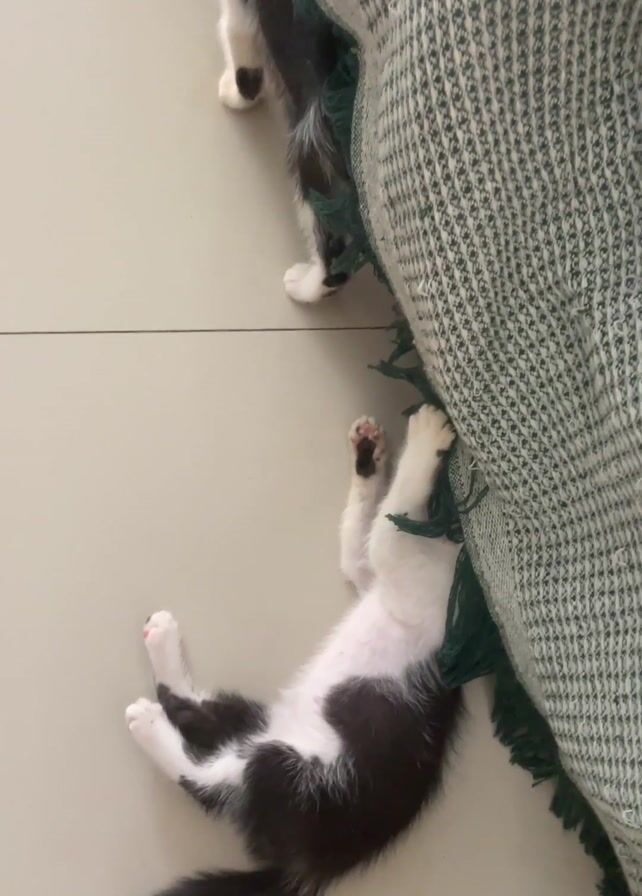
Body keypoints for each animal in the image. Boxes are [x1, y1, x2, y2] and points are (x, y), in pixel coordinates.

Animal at [126, 405, 462, 896]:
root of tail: (303, 865)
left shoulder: (415, 581)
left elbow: (388, 529)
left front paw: (423, 443)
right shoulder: (383, 579)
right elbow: (360, 544)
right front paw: (369, 455)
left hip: (295, 779)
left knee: (210, 782)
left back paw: (147, 723)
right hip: (267, 731)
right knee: (196, 715)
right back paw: (163, 645)